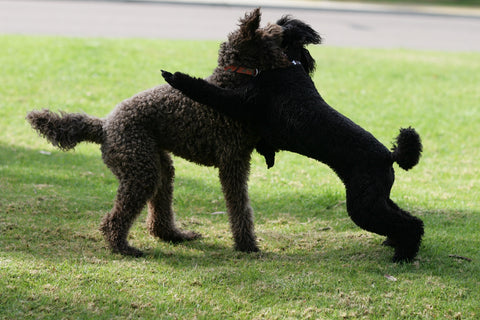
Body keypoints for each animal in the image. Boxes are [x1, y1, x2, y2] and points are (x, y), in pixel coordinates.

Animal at [162, 60, 424, 262]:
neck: (288, 69)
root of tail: (390, 156)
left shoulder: (244, 102)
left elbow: (208, 92)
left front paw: (176, 77)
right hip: (375, 196)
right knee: (408, 218)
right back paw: (396, 243)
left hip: (362, 205)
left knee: (406, 223)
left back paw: (403, 255)